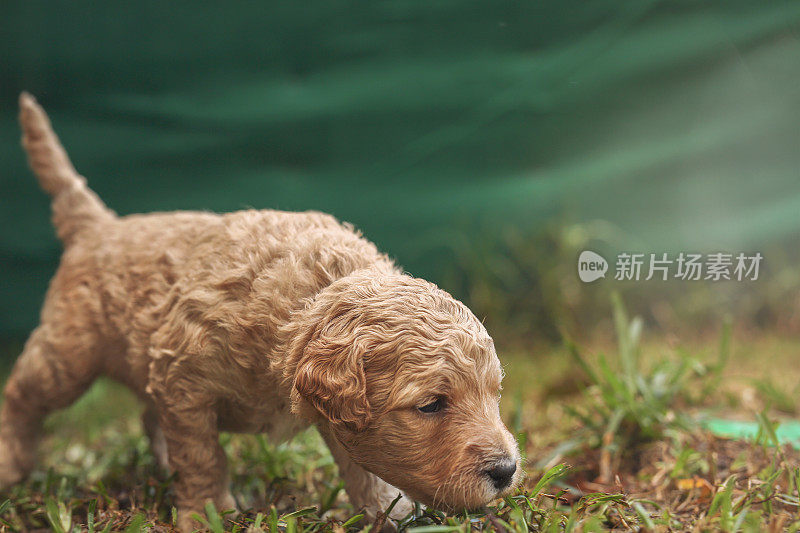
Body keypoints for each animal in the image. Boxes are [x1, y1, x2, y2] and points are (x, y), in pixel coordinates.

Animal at [0, 93, 520, 528]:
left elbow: (361, 468)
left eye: (494, 393)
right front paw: (206, 513)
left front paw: (388, 512)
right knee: (24, 393)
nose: (506, 470)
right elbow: (203, 456)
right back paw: (11, 462)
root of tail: (98, 226)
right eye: (431, 405)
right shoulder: (183, 376)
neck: (313, 295)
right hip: (68, 352)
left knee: (149, 416)